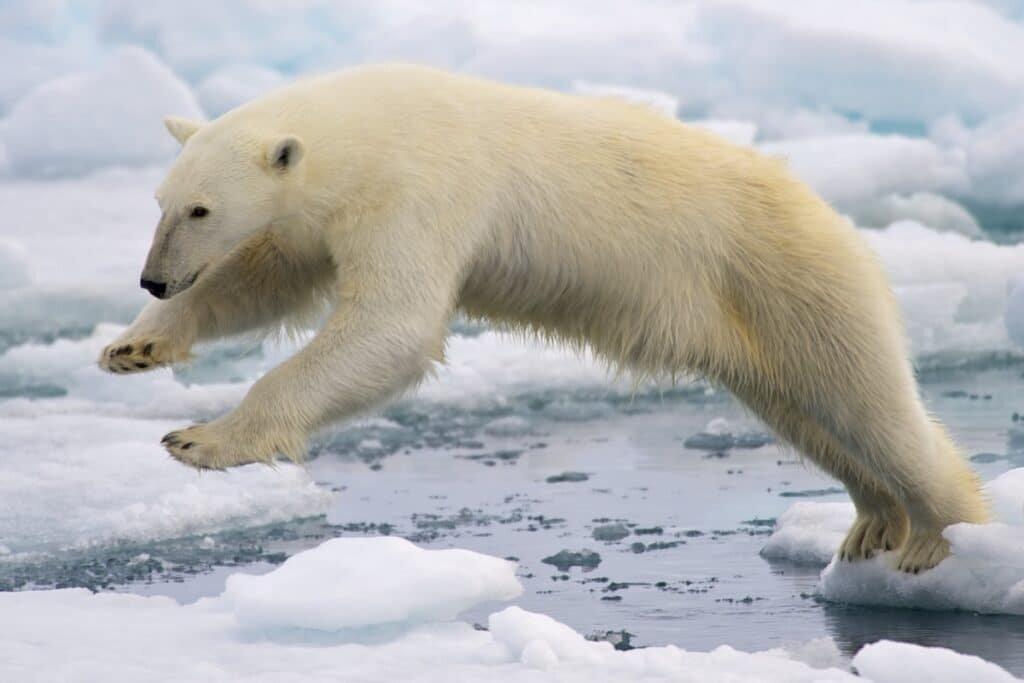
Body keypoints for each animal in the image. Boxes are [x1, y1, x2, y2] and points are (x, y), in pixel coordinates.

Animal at [101, 65, 983, 573]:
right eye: (161, 201)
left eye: (201, 207)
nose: (152, 276)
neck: (369, 126)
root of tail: (832, 217)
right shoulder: (324, 215)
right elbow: (266, 277)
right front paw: (135, 345)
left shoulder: (420, 189)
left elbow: (392, 325)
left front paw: (201, 438)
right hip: (752, 323)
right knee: (808, 414)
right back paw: (873, 522)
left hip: (790, 278)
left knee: (868, 402)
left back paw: (939, 536)